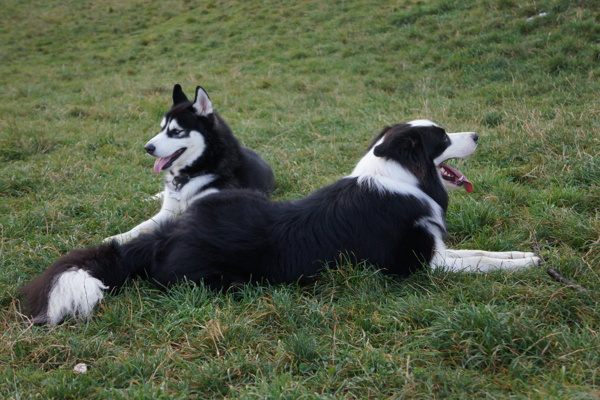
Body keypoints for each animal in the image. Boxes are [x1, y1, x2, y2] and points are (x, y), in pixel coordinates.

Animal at [22, 119, 540, 324]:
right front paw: (526, 265)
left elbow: (485, 252)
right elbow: (483, 262)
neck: (403, 176)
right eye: (442, 138)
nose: (477, 134)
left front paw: (527, 254)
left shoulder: (440, 253)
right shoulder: (423, 265)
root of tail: (167, 236)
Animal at [106, 84, 276, 244]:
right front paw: (118, 237)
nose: (147, 148)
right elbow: (141, 226)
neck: (196, 170)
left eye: (176, 131)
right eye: (161, 128)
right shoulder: (168, 210)